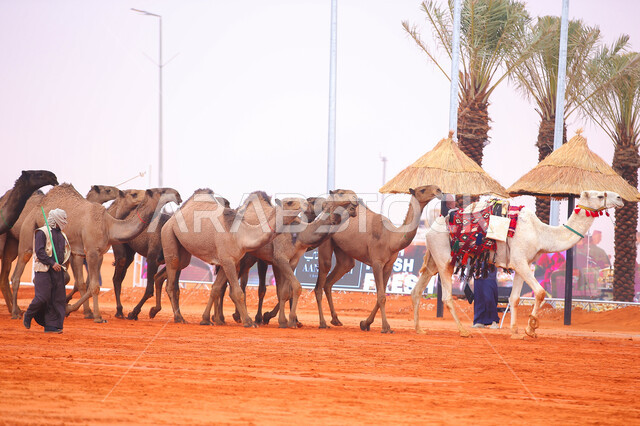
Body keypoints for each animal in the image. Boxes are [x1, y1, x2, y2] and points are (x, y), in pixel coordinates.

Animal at [9, 183, 180, 322]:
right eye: (162, 191)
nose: (178, 195)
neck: (108, 225)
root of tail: (36, 208)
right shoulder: (91, 251)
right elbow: (94, 286)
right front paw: (97, 317)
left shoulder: (99, 253)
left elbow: (90, 285)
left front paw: (71, 309)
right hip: (28, 233)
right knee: (17, 273)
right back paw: (16, 312)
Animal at [160, 190, 301, 326]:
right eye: (289, 202)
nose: (302, 203)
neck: (240, 235)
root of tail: (171, 219)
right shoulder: (228, 261)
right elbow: (238, 292)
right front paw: (248, 322)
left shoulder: (229, 262)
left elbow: (216, 289)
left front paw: (206, 319)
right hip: (168, 233)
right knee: (172, 275)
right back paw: (179, 318)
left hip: (183, 250)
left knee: (180, 266)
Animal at [203, 195, 358, 328]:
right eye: (341, 203)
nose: (354, 206)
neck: (299, 234)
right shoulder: (279, 258)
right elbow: (294, 287)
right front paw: (289, 320)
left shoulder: (290, 261)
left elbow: (284, 291)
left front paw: (282, 320)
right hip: (240, 258)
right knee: (226, 285)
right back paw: (220, 318)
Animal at [314, 185, 442, 333]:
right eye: (422, 190)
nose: (439, 190)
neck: (391, 238)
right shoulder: (377, 263)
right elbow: (381, 296)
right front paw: (386, 327)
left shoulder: (388, 266)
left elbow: (382, 294)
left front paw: (365, 323)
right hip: (325, 241)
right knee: (320, 281)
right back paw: (322, 323)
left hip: (343, 251)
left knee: (334, 277)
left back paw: (336, 320)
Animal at [411, 190, 623, 339]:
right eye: (599, 195)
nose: (620, 197)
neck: (540, 233)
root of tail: (429, 230)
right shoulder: (520, 260)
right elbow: (540, 292)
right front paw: (531, 329)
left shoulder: (522, 263)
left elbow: (514, 298)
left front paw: (515, 330)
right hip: (444, 259)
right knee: (446, 296)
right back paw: (463, 330)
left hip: (433, 261)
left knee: (417, 290)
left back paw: (419, 329)